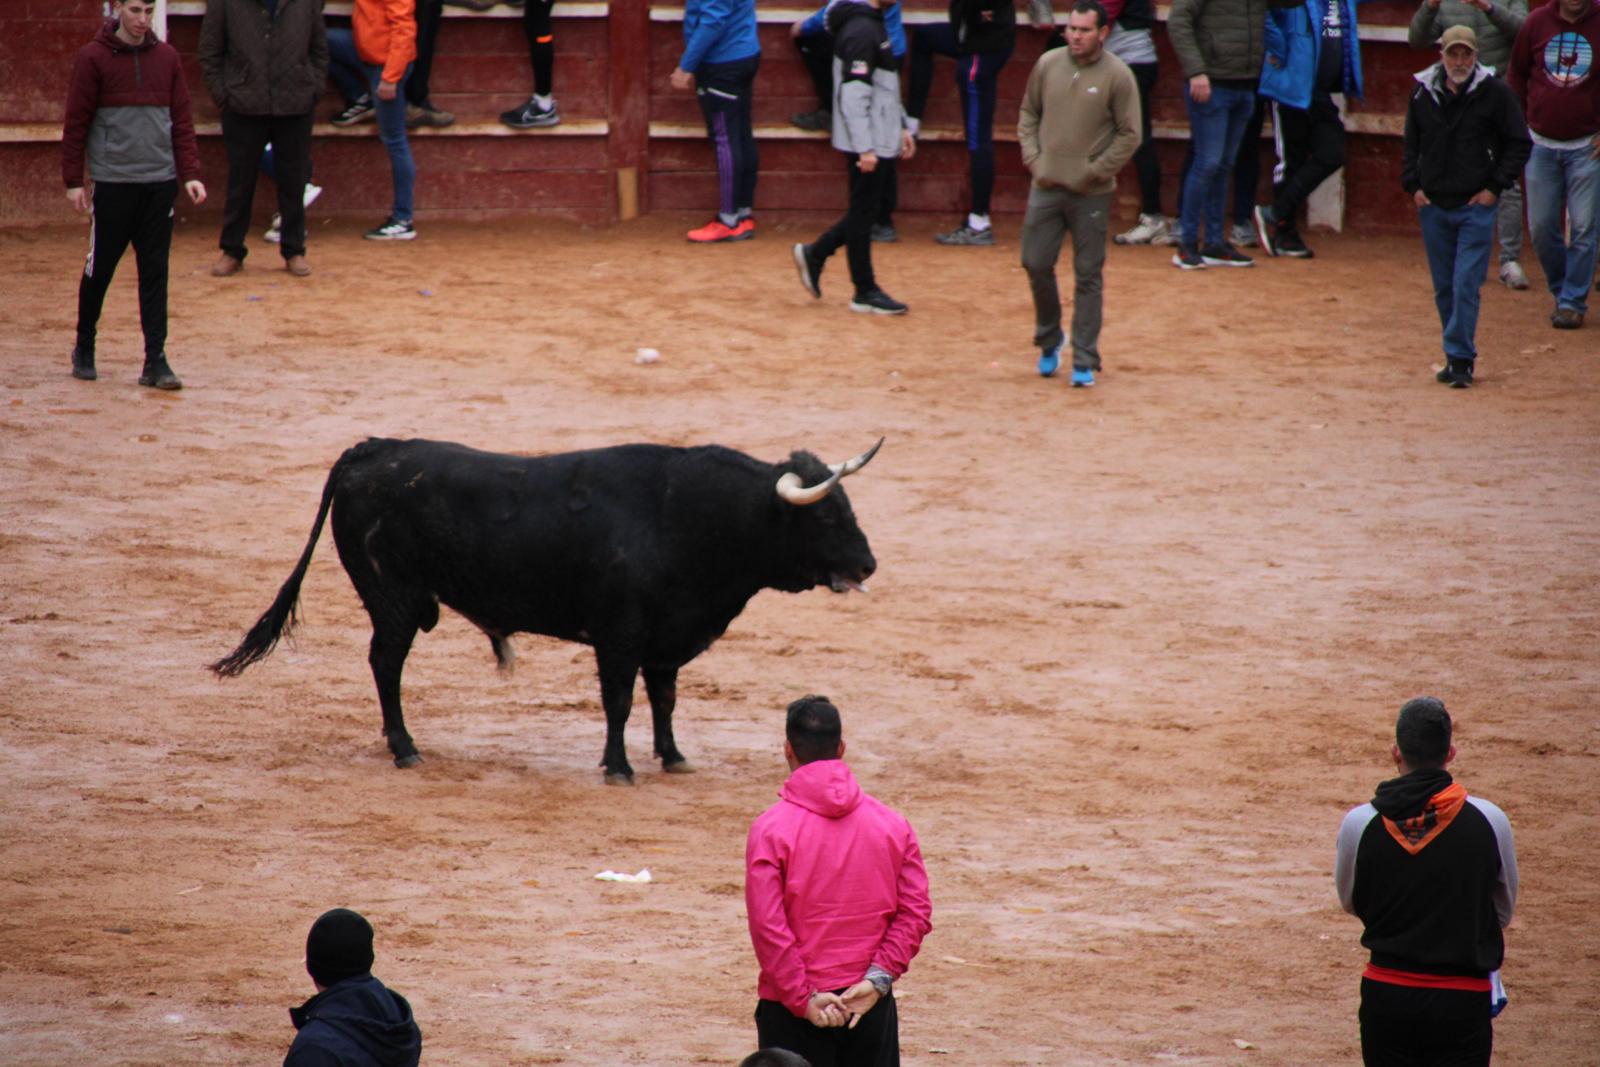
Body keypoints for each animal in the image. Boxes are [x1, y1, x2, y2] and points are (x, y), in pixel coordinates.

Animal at [211, 435, 883, 783]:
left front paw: (673, 757)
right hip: (395, 600)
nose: (868, 565)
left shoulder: (667, 636)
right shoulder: (621, 634)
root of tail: (371, 451)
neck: (692, 515)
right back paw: (405, 747)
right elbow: (619, 700)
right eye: (826, 515)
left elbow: (664, 699)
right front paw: (619, 766)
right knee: (385, 663)